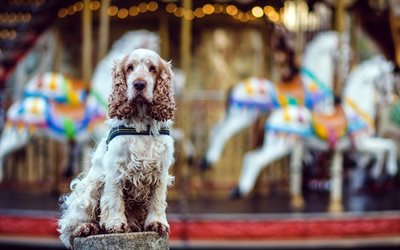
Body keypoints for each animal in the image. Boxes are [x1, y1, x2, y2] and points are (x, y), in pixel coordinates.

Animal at [57, 48, 175, 248]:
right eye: (129, 68)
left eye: (152, 68)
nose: (139, 84)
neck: (141, 123)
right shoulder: (115, 169)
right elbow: (114, 199)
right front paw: (116, 224)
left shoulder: (160, 170)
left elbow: (157, 200)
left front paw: (157, 223)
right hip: (90, 188)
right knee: (69, 229)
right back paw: (86, 228)